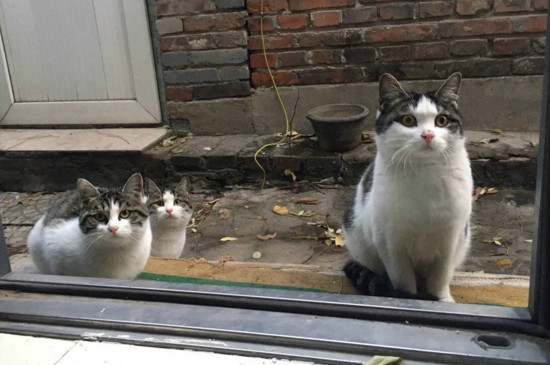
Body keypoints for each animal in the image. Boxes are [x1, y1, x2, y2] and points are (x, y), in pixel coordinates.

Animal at [344, 72, 474, 302]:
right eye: (408, 120)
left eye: (441, 120)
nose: (428, 135)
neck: (425, 173)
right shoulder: (390, 243)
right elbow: (403, 279)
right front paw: (409, 298)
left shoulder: (451, 238)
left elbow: (440, 277)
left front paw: (442, 300)